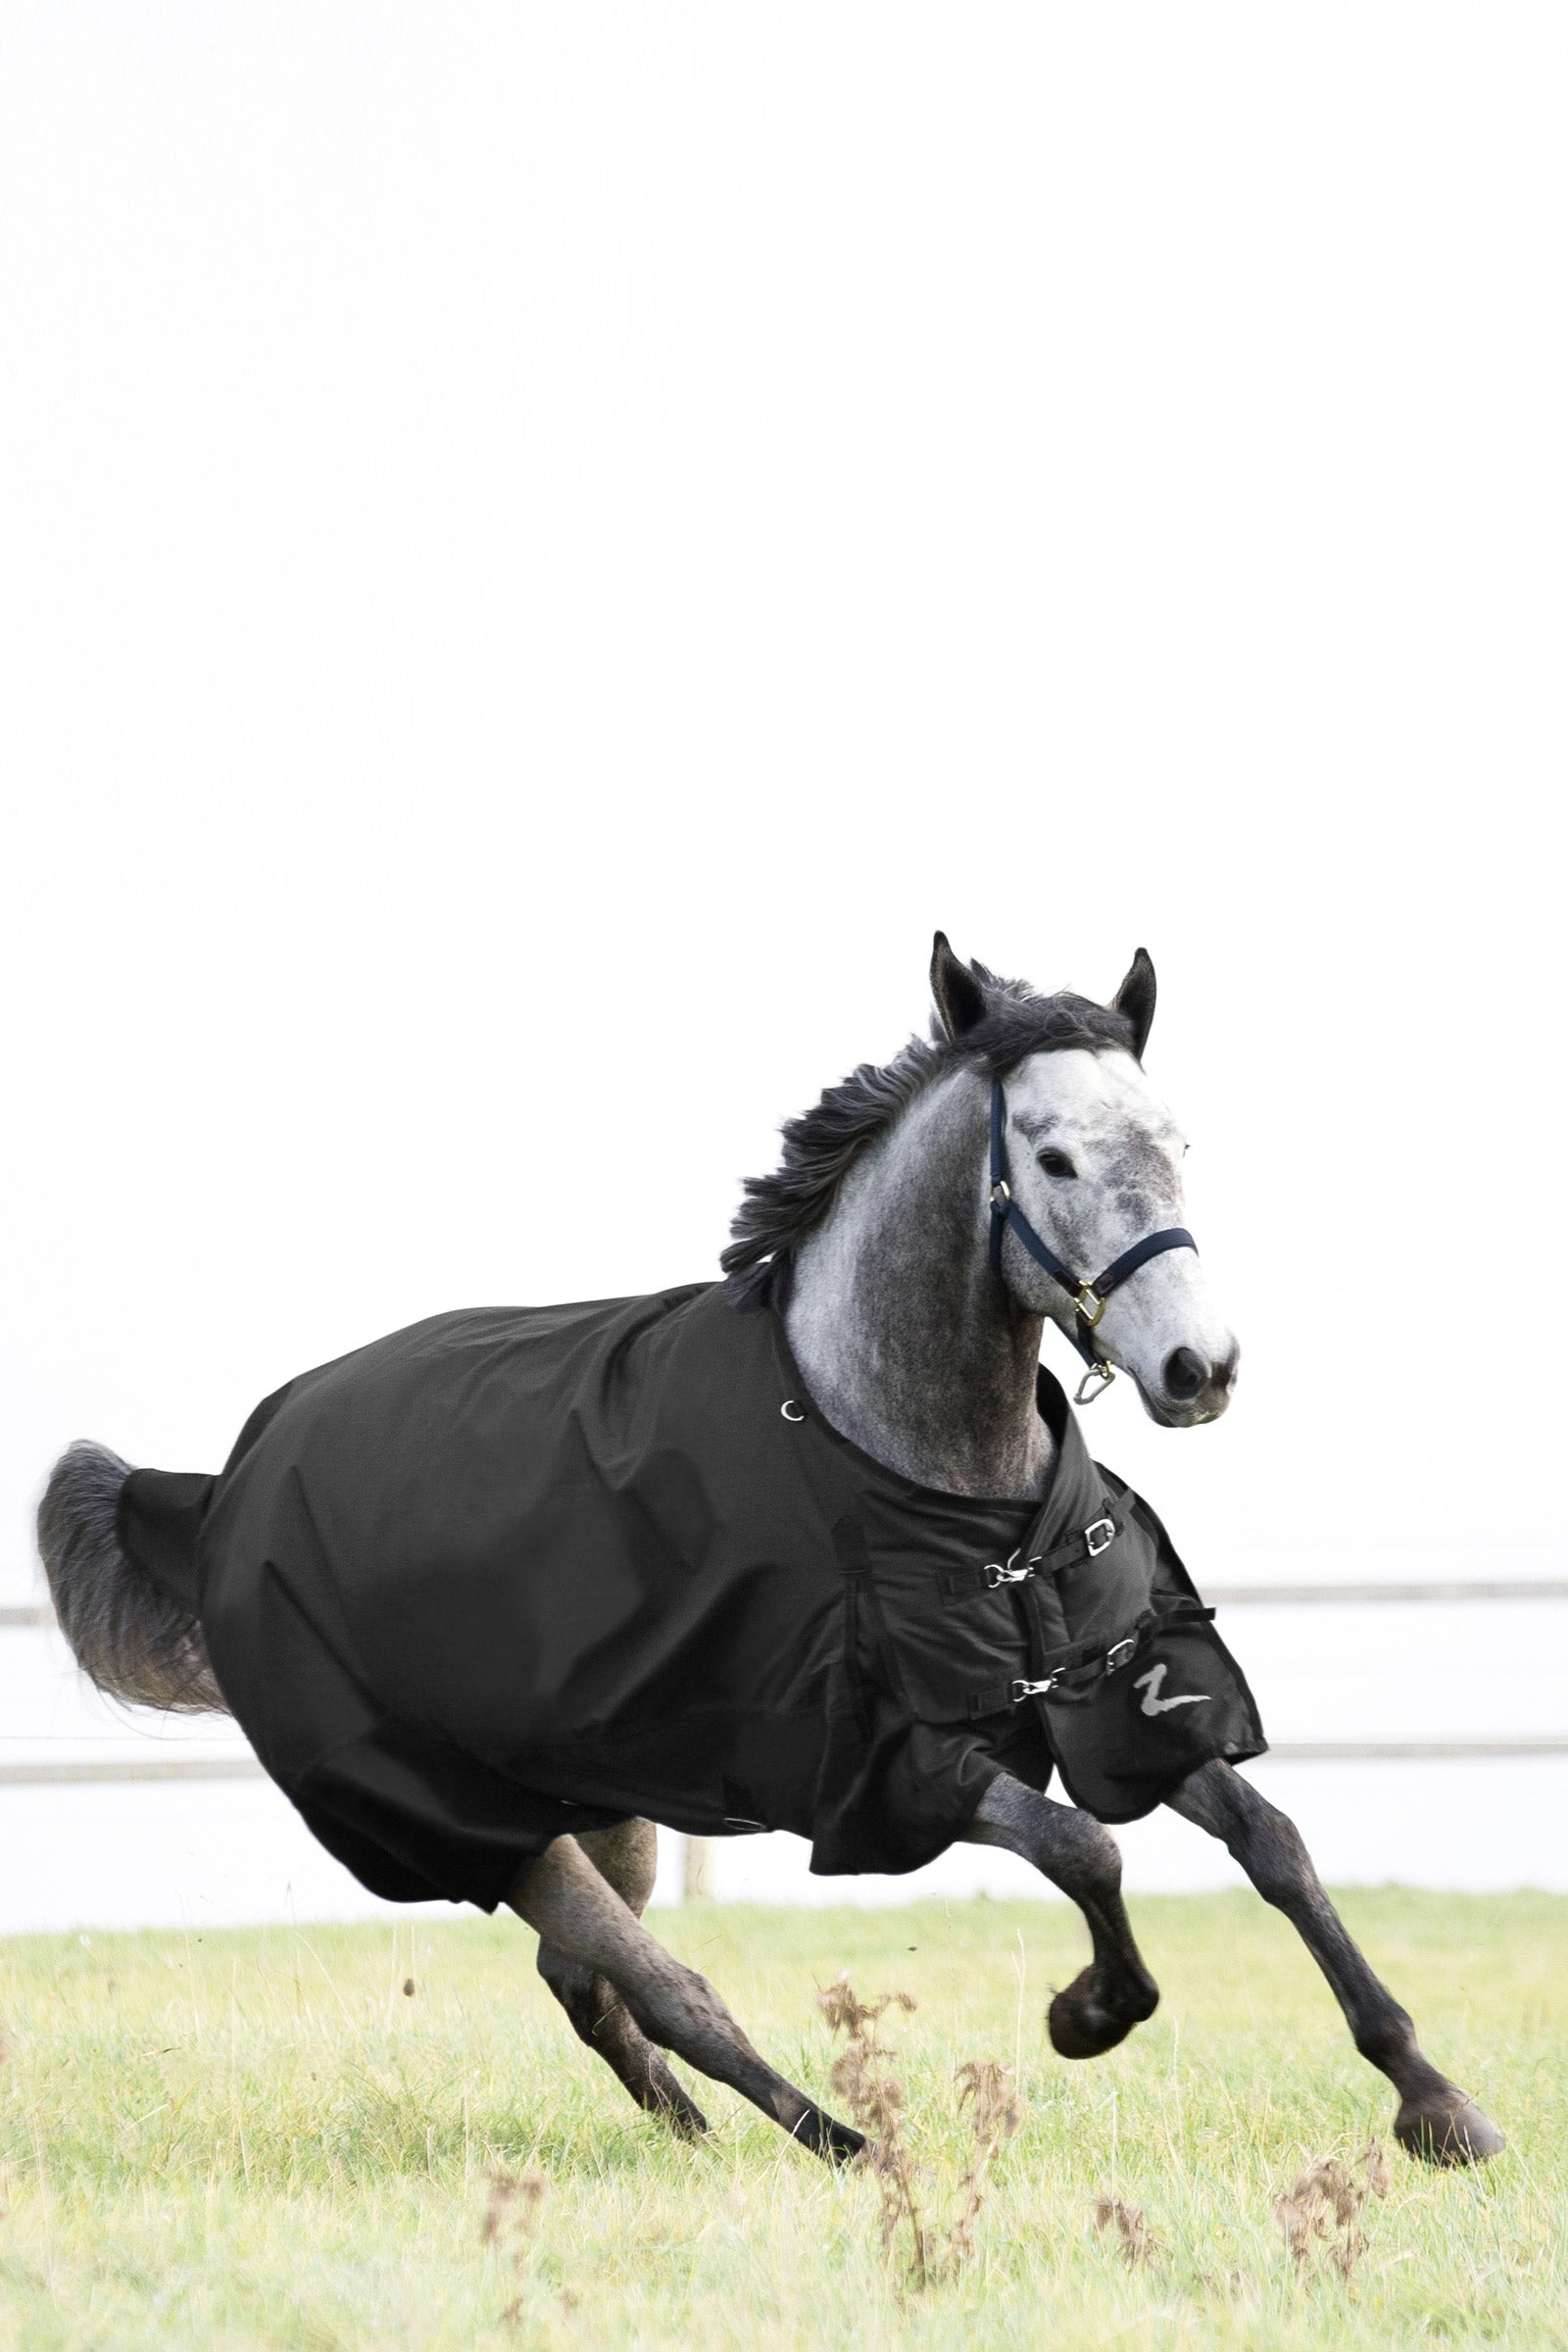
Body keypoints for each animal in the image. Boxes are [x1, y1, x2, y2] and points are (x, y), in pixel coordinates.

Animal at [37, 934, 1502, 2168]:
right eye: (1053, 1159)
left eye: (1180, 1141)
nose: (1201, 1370)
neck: (921, 1469)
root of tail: (221, 1486)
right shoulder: (895, 1761)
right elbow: (1088, 1850)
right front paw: (1088, 2013)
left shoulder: (1106, 1696)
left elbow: (1272, 1842)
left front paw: (1437, 2106)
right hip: (483, 1823)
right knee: (669, 1989)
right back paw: (844, 2147)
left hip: (599, 1797)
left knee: (591, 1987)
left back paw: (700, 2140)